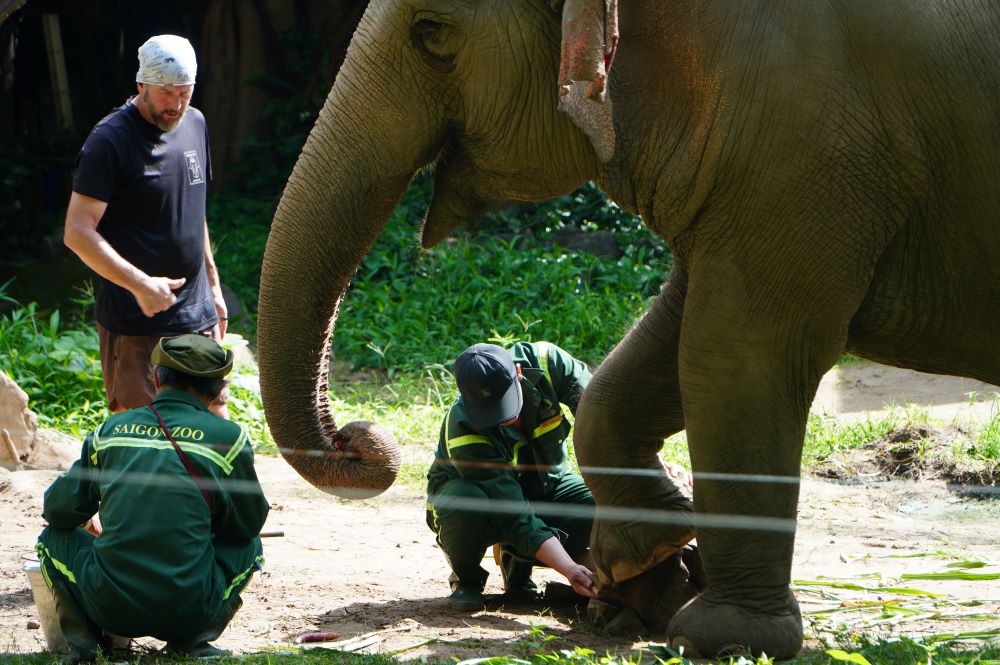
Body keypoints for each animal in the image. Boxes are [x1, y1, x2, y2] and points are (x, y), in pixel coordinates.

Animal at [256, 0, 1000, 658]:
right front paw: (644, 557)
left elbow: (729, 357)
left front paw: (716, 634)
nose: (356, 439)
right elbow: (660, 350)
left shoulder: (803, 149)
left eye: (431, 32)